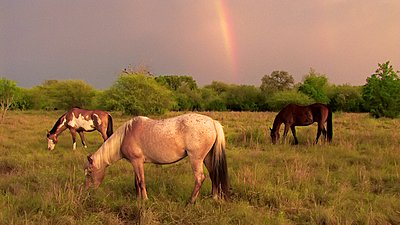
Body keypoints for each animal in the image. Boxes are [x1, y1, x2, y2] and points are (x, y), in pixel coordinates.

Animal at [83, 113, 230, 203]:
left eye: (89, 173)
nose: (87, 192)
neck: (125, 136)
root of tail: (213, 122)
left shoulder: (137, 161)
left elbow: (141, 181)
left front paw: (145, 200)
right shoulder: (135, 163)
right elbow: (137, 182)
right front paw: (138, 199)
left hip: (196, 159)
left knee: (200, 178)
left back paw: (191, 201)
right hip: (208, 158)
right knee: (213, 175)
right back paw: (214, 197)